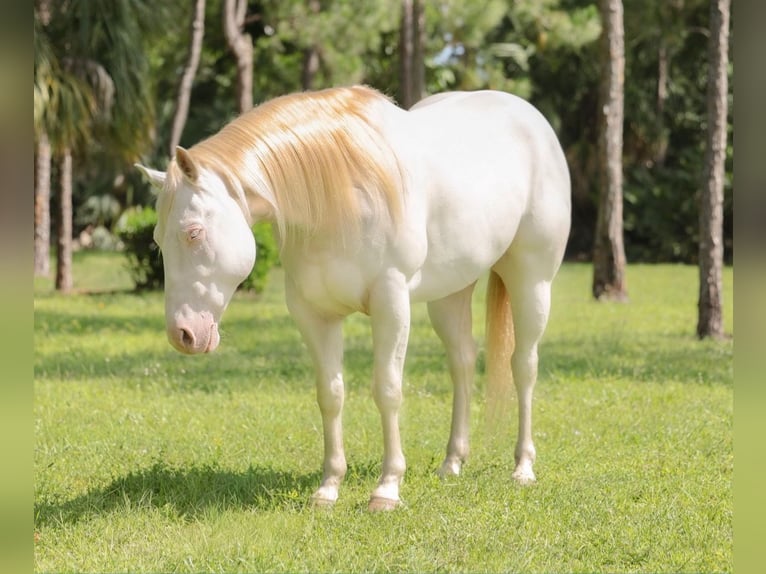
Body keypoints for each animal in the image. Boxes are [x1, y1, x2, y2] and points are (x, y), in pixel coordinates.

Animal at [136, 85, 571, 511]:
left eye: (193, 232)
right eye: (157, 239)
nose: (183, 334)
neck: (339, 195)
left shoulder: (391, 303)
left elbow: (388, 390)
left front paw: (387, 488)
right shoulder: (314, 314)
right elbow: (330, 394)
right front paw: (328, 487)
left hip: (532, 282)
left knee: (523, 366)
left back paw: (523, 468)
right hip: (451, 293)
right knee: (462, 362)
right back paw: (452, 463)